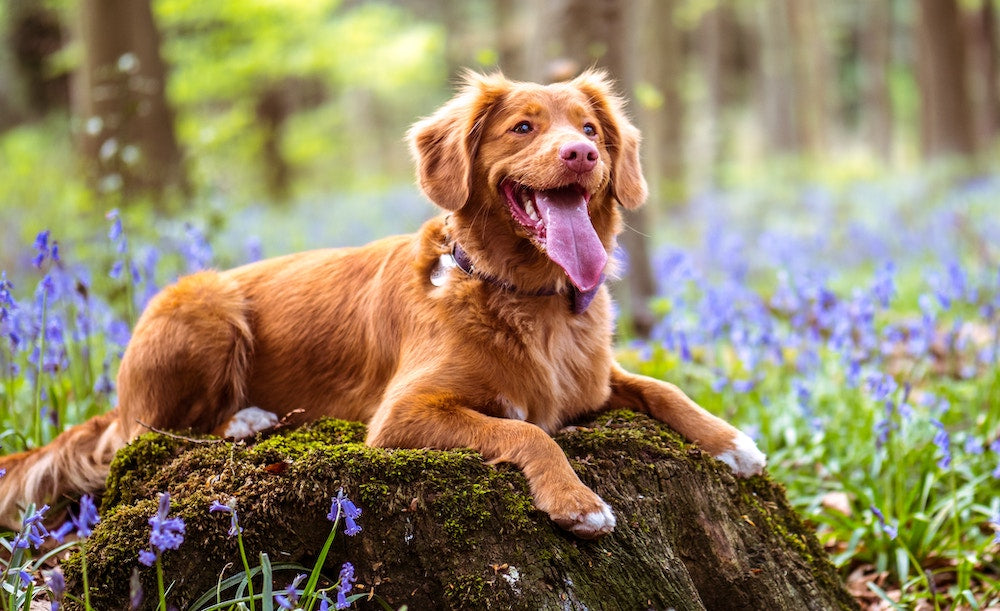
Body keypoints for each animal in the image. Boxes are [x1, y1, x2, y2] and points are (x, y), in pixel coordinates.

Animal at [0, 70, 764, 540]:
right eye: (522, 127)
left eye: (591, 129)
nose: (581, 154)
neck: (527, 298)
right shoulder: (403, 414)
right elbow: (529, 433)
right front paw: (577, 502)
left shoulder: (595, 381)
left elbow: (662, 387)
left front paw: (733, 441)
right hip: (204, 304)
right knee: (149, 433)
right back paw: (245, 419)